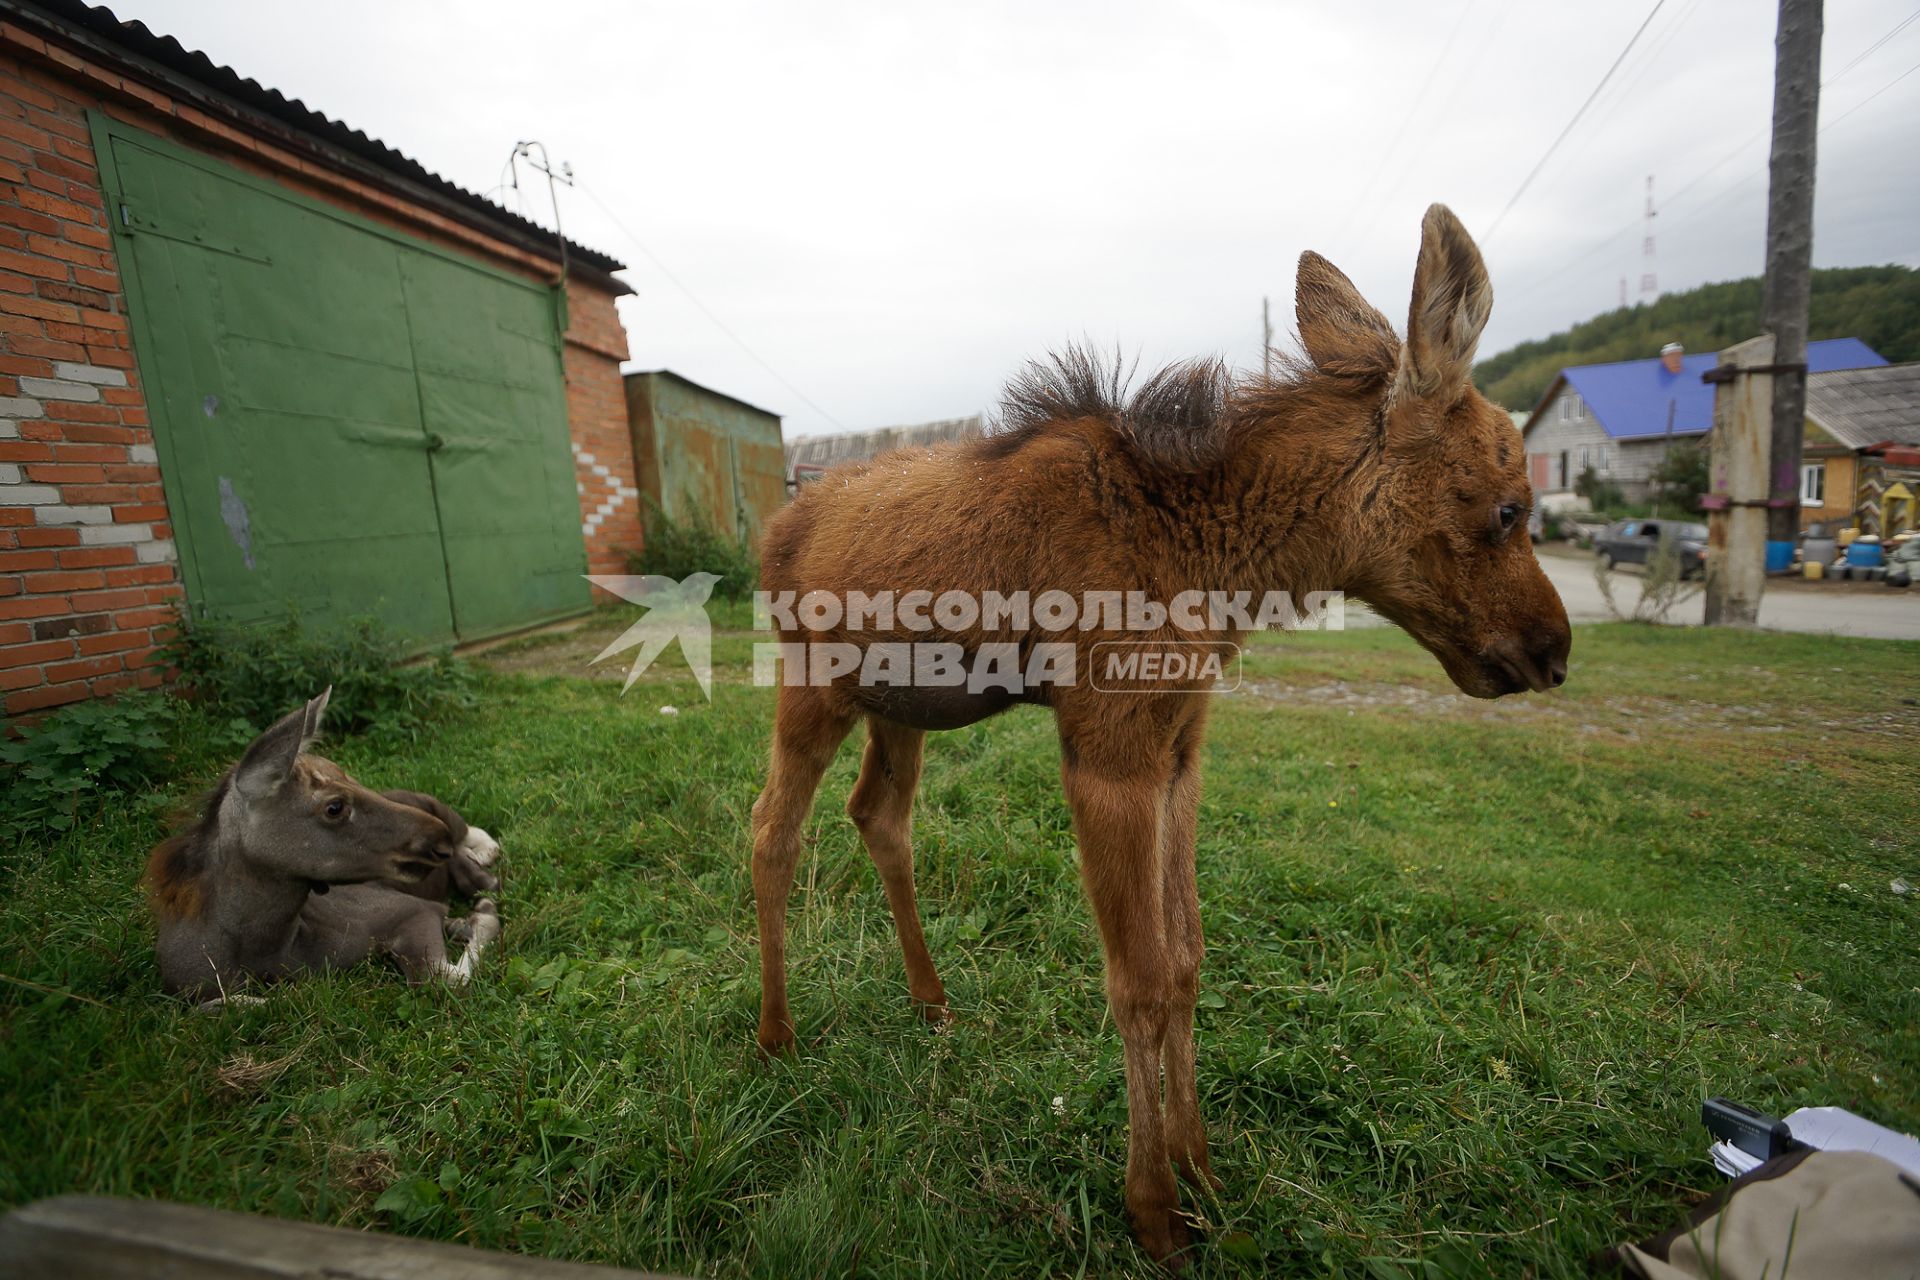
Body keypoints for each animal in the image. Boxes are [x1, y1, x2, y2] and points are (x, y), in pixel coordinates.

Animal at [145, 687, 503, 1005]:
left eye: (350, 777)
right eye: (334, 807)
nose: (437, 838)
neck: (265, 946)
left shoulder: (413, 909)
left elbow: (448, 974)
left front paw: (475, 915)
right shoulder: (192, 990)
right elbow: (240, 1003)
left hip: (439, 809)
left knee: (476, 839)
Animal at [741, 205, 1566, 1266]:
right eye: (1509, 508)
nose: (1554, 648)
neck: (1222, 564)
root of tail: (774, 532)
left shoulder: (1181, 747)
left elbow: (1184, 962)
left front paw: (1203, 1170)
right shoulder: (1108, 747)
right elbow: (1134, 978)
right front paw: (1154, 1208)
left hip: (903, 703)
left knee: (878, 816)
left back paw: (931, 1000)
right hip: (814, 685)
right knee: (772, 827)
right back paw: (775, 1034)